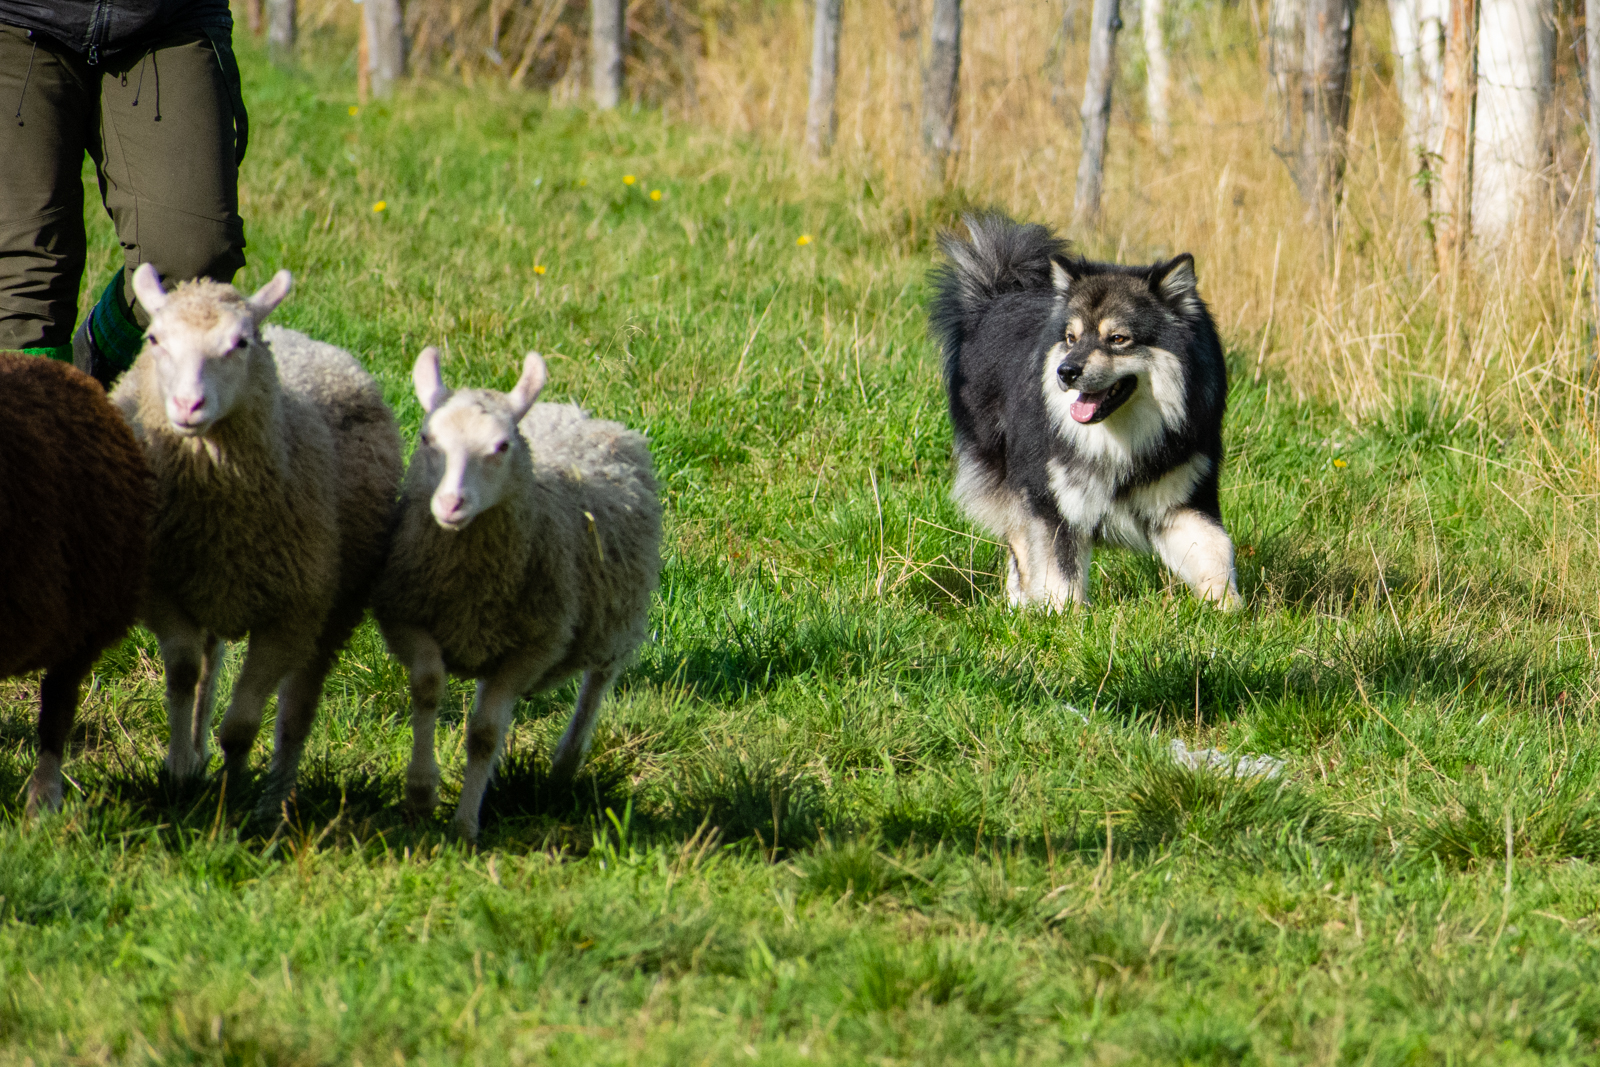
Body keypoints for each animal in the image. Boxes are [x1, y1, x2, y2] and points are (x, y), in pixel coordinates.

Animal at [110, 267, 403, 819]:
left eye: (239, 344)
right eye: (154, 339)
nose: (188, 406)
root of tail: (291, 331)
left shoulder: (289, 618)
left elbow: (243, 725)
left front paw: (232, 799)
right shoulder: (163, 590)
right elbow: (183, 673)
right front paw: (178, 771)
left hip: (331, 609)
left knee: (299, 703)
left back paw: (274, 799)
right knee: (208, 665)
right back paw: (197, 756)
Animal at [374, 348, 662, 844]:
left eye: (501, 446)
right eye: (427, 438)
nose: (450, 504)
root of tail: (576, 412)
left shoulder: (532, 648)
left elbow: (485, 733)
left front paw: (465, 826)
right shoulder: (406, 617)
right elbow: (428, 687)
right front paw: (421, 794)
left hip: (616, 618)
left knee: (598, 682)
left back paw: (564, 766)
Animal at [934, 211, 1241, 607]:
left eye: (1118, 339)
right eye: (1071, 338)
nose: (1065, 372)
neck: (1118, 440)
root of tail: (997, 295)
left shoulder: (1180, 501)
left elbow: (1216, 553)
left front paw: (1228, 612)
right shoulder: (1053, 503)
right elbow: (1060, 577)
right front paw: (1065, 617)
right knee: (1019, 543)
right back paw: (1021, 603)